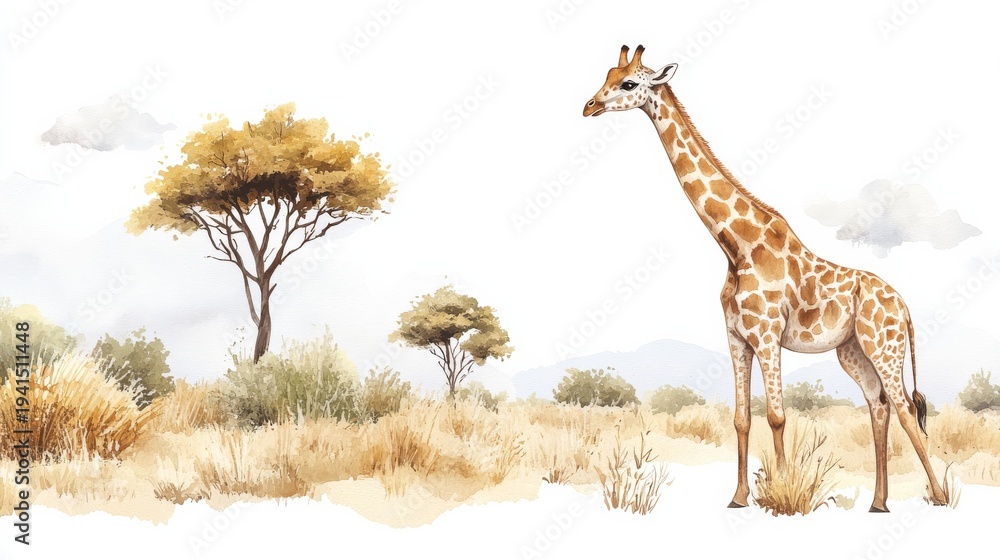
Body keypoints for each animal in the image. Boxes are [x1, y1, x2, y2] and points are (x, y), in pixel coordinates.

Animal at [583, 45, 948, 511]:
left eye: (628, 83)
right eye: (606, 77)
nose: (589, 106)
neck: (736, 245)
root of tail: (903, 306)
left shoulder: (768, 335)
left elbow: (776, 415)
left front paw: (784, 495)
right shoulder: (737, 337)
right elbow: (742, 418)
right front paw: (739, 497)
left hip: (885, 346)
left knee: (906, 411)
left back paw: (939, 496)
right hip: (854, 352)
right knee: (879, 406)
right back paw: (878, 503)